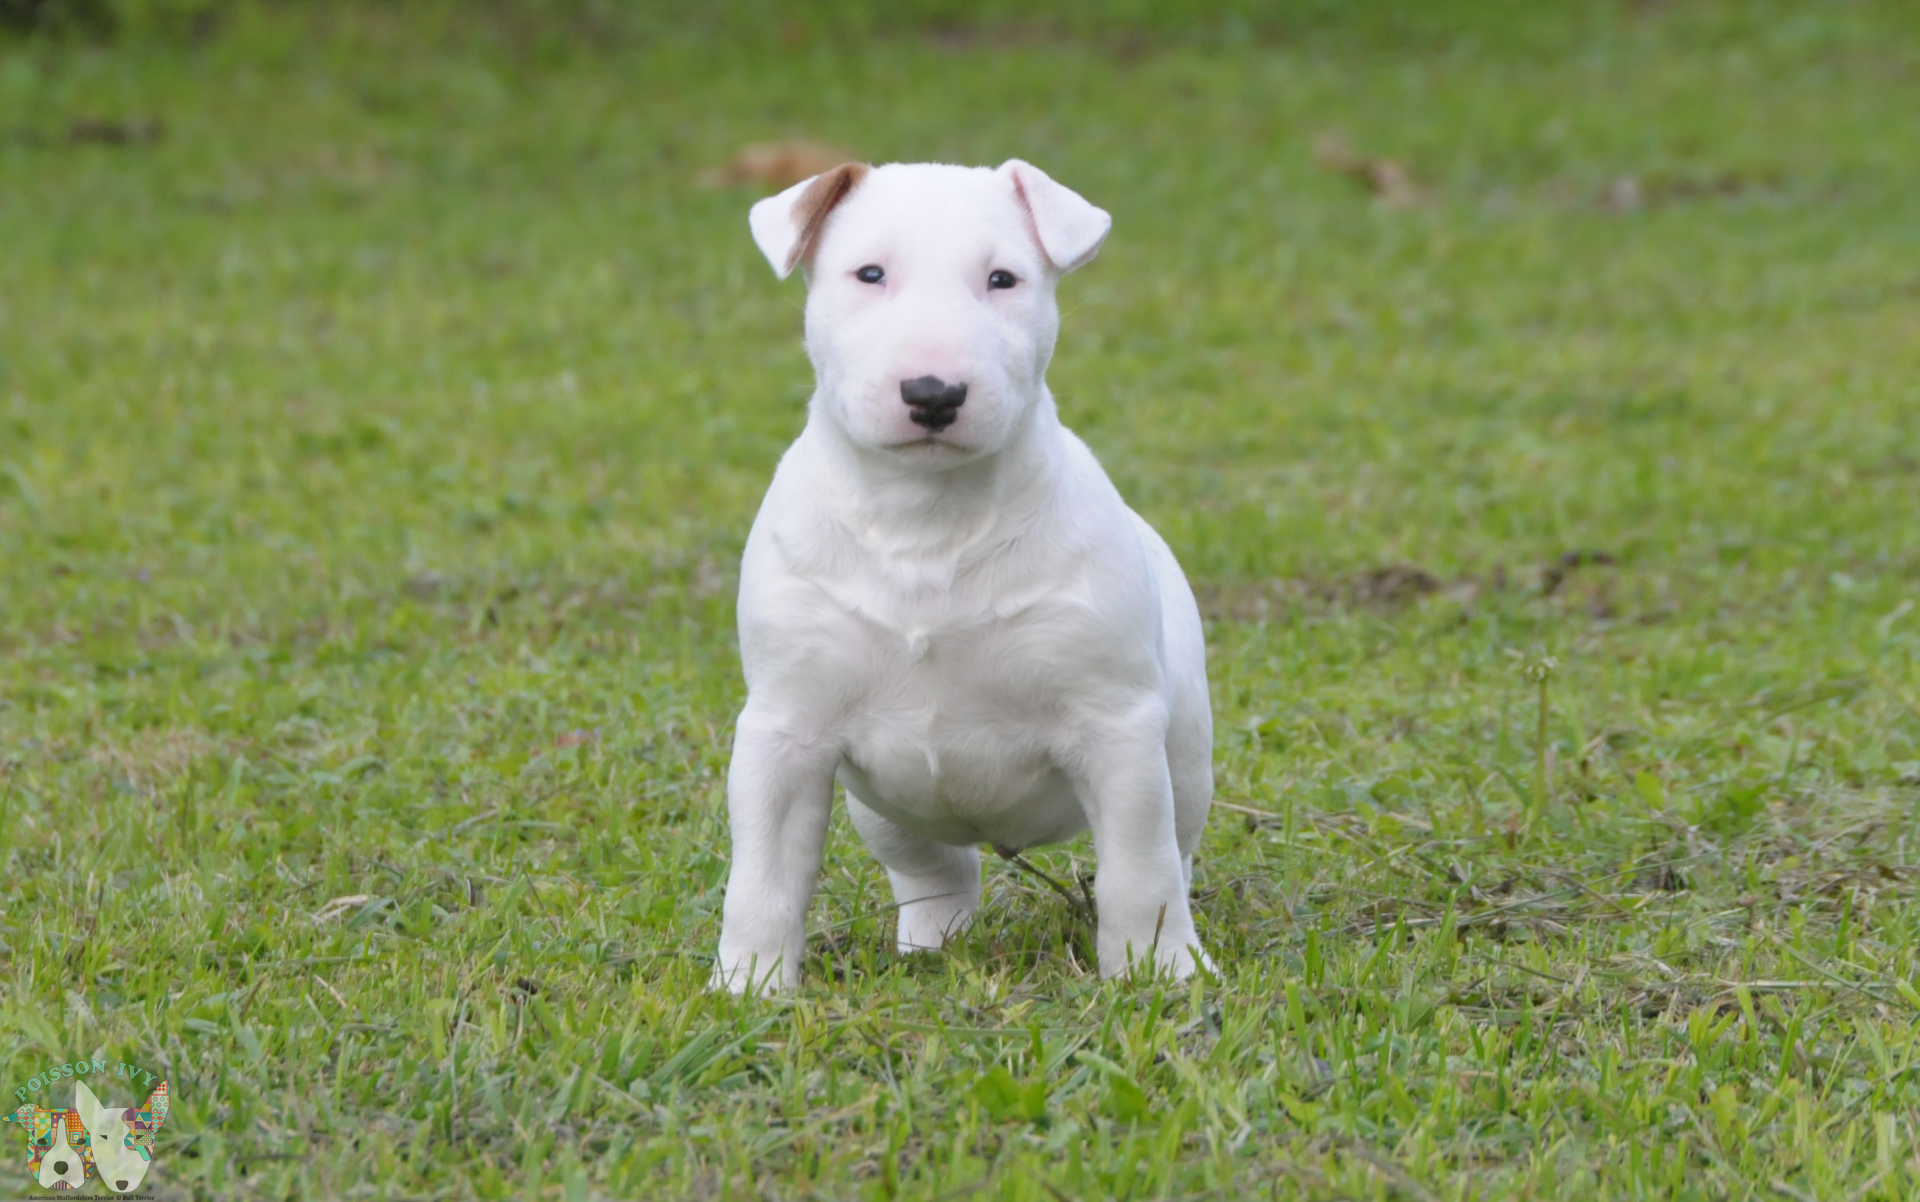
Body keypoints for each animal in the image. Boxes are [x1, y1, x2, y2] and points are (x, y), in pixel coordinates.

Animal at [711, 160, 1213, 994]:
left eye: (1002, 279)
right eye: (869, 273)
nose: (934, 394)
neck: (928, 520)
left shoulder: (1116, 728)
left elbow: (1139, 870)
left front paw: (1159, 975)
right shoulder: (784, 732)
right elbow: (764, 877)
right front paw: (748, 987)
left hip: (1185, 755)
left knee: (1172, 849)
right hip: (881, 810)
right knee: (937, 871)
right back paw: (930, 946)